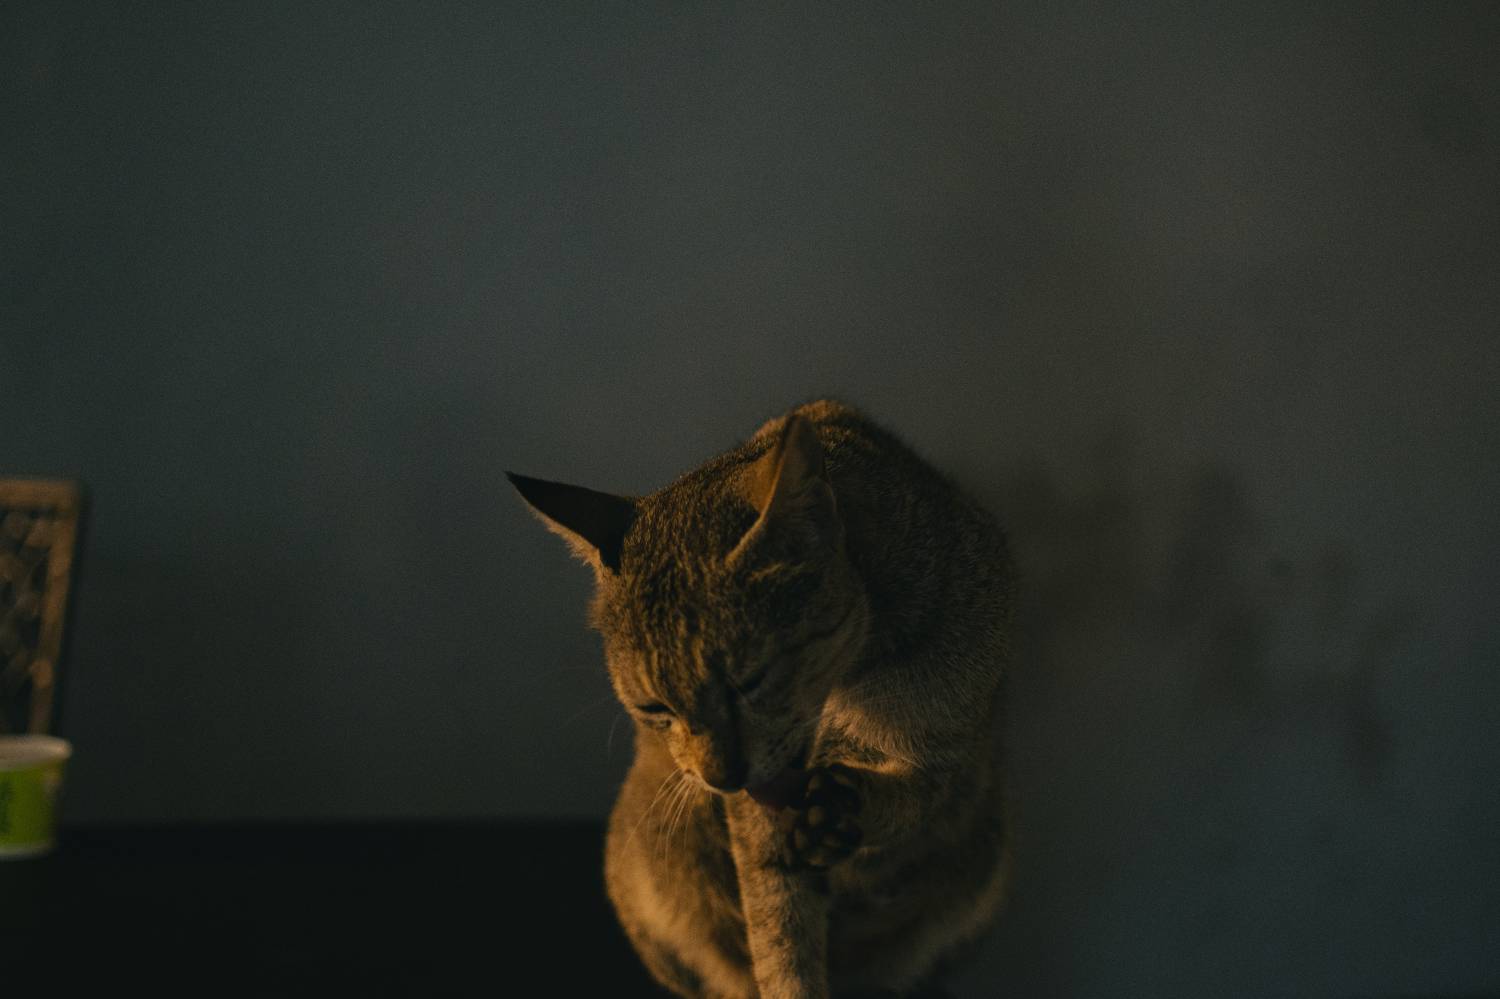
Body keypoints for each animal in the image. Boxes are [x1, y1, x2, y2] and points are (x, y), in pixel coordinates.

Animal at [509, 400, 1013, 999]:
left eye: (749, 681)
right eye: (656, 709)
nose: (720, 778)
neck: (851, 687)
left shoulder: (950, 748)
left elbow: (913, 799)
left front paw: (847, 805)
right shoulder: (756, 828)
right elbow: (781, 936)